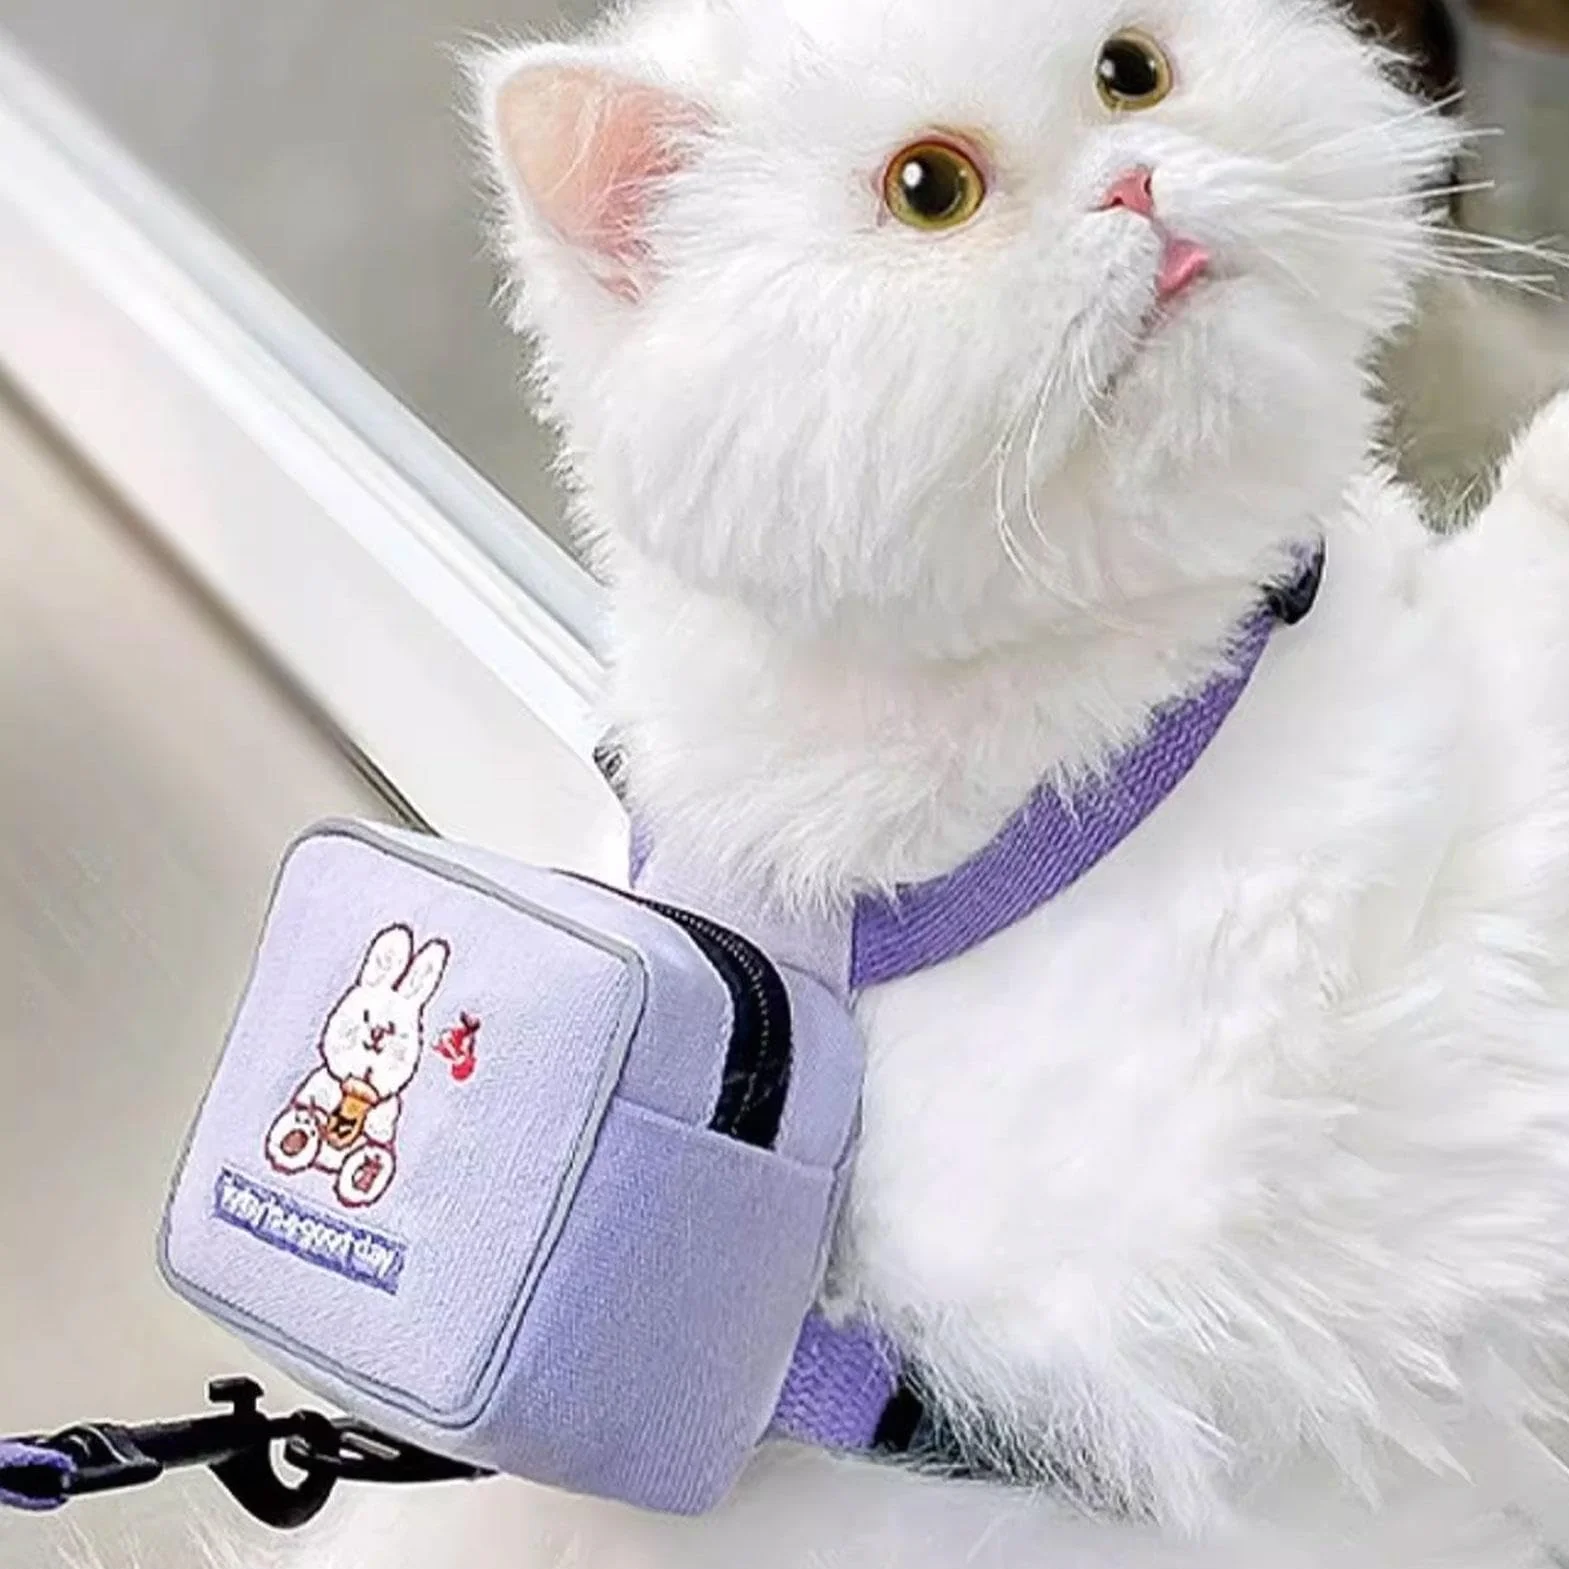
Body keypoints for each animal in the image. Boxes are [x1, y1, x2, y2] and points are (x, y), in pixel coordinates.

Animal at [264, 924, 449, 1210]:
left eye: (397, 1030)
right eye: (366, 1015)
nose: (379, 1031)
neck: (360, 1085)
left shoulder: (387, 1112)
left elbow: (379, 1132)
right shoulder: (321, 1083)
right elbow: (312, 1101)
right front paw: (302, 1127)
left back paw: (367, 1171)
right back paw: (298, 1135)